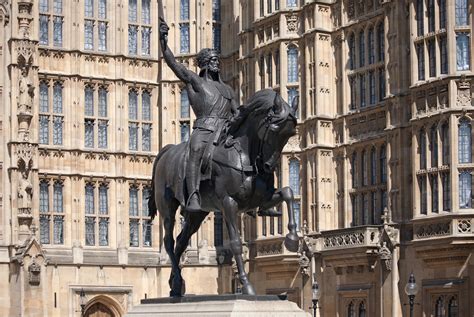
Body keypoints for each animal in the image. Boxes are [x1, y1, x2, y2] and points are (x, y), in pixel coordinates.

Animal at [148, 89, 300, 296]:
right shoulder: (228, 203)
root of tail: (168, 150)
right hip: (168, 208)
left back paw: (175, 285)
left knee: (181, 241)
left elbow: (288, 192)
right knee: (169, 241)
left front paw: (292, 239)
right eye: (274, 129)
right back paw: (177, 281)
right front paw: (246, 284)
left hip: (197, 214)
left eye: (290, 133)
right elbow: (235, 243)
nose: (268, 166)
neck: (244, 154)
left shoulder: (260, 199)